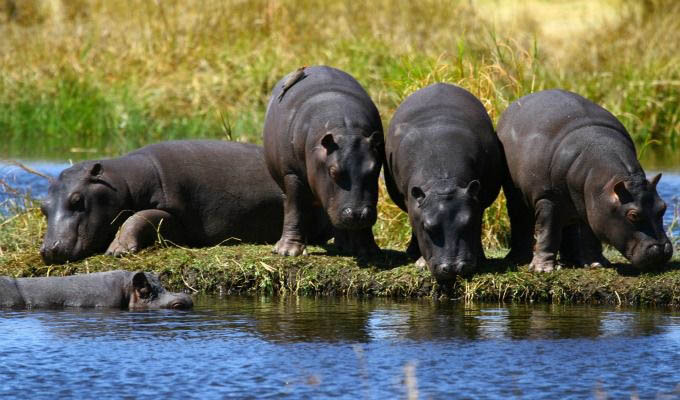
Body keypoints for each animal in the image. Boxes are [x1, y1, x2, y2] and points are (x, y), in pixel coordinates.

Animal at [39, 141, 332, 266]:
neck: (122, 182)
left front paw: (117, 250)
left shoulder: (174, 213)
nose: (49, 249)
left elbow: (138, 217)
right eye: (43, 207)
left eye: (78, 200)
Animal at [262, 64, 386, 255]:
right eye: (333, 172)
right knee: (291, 204)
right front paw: (288, 251)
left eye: (374, 171)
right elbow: (295, 208)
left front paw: (368, 250)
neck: (346, 130)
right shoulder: (292, 173)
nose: (358, 214)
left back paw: (345, 246)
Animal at [496, 89, 672, 272]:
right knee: (521, 221)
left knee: (569, 228)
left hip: (576, 205)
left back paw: (570, 261)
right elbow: (547, 232)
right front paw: (542, 269)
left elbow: (590, 234)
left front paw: (596, 264)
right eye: (633, 215)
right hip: (516, 195)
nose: (662, 250)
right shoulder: (548, 198)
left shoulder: (594, 204)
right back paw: (518, 260)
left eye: (663, 207)